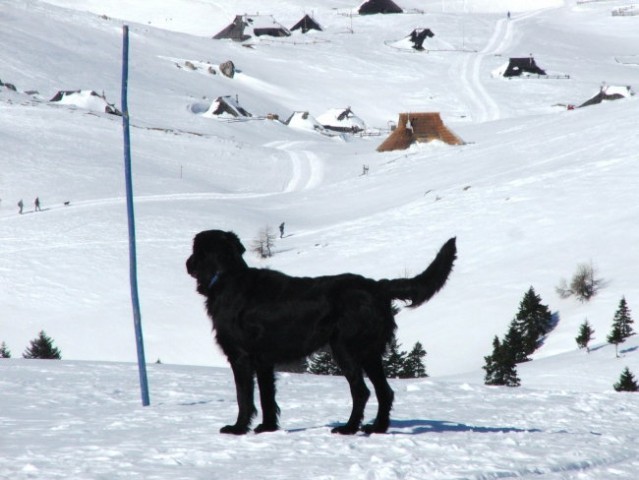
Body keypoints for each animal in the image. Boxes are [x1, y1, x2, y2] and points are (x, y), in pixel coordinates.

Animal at [188, 230, 458, 436]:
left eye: (195, 249)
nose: (187, 264)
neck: (227, 277)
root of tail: (376, 286)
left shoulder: (241, 356)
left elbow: (244, 397)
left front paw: (237, 428)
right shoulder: (264, 361)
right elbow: (267, 396)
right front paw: (267, 428)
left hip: (344, 348)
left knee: (361, 390)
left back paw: (348, 428)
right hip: (369, 352)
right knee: (385, 392)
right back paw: (377, 428)